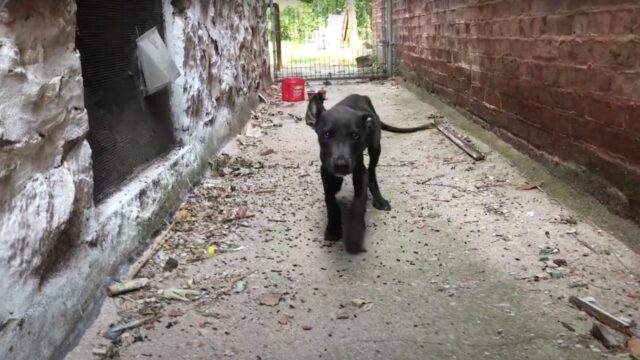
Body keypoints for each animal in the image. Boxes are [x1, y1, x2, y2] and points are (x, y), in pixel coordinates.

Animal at [306, 93, 436, 253]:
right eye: (326, 134)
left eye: (355, 136)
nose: (341, 165)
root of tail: (361, 95)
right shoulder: (326, 171)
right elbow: (330, 200)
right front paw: (333, 228)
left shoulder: (360, 171)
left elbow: (359, 201)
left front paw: (354, 234)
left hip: (375, 147)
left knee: (372, 171)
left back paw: (379, 199)